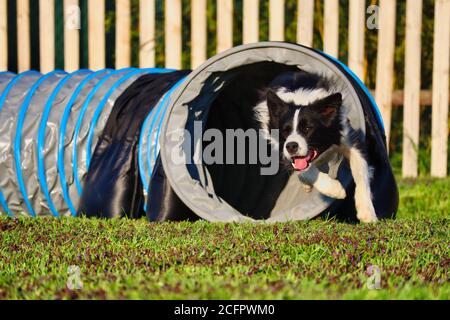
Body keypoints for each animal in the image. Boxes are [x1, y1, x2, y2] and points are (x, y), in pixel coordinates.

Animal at [255, 71, 378, 224]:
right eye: (285, 131)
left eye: (308, 128)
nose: (291, 146)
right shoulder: (284, 150)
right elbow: (305, 171)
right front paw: (335, 189)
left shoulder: (347, 138)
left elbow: (360, 173)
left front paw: (367, 213)